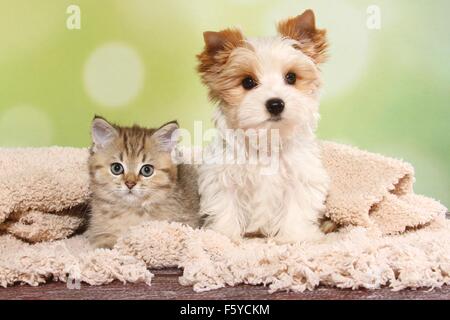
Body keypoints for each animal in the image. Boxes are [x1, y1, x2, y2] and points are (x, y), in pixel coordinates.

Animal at [197, 9, 334, 242]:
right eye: (248, 82)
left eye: (291, 77)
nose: (275, 104)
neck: (268, 139)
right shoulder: (222, 177)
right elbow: (226, 206)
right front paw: (225, 236)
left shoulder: (301, 178)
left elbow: (296, 209)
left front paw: (293, 237)